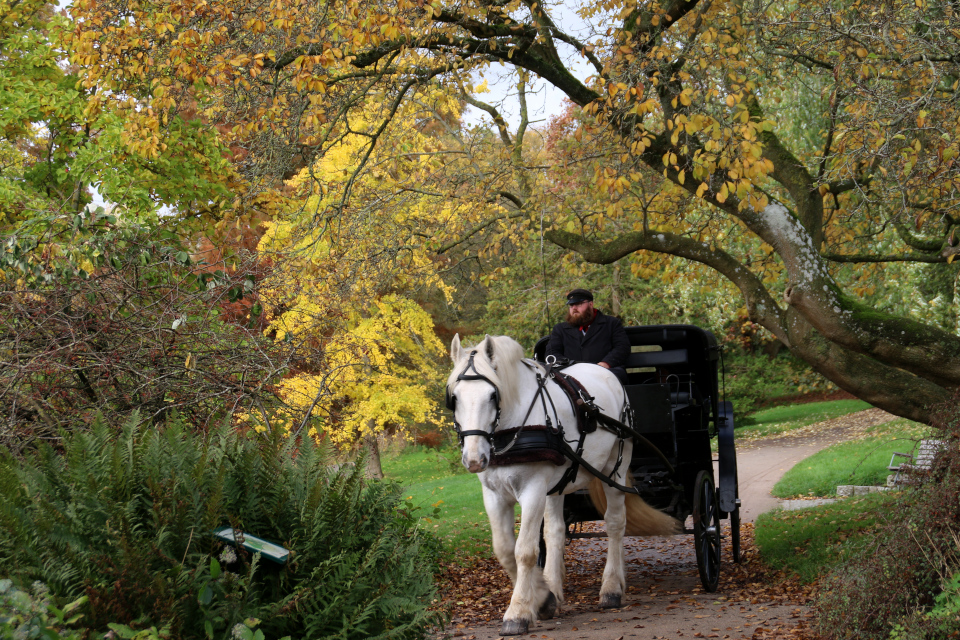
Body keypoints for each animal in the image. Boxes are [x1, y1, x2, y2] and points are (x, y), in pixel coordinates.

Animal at [446, 336, 680, 636]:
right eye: (454, 397)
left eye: (492, 395)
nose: (474, 459)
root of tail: (602, 371)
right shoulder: (494, 494)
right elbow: (505, 549)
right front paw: (544, 598)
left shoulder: (533, 489)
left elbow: (524, 551)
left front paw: (519, 612)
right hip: (556, 485)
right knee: (555, 532)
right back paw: (557, 590)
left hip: (615, 467)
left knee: (616, 523)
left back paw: (612, 587)